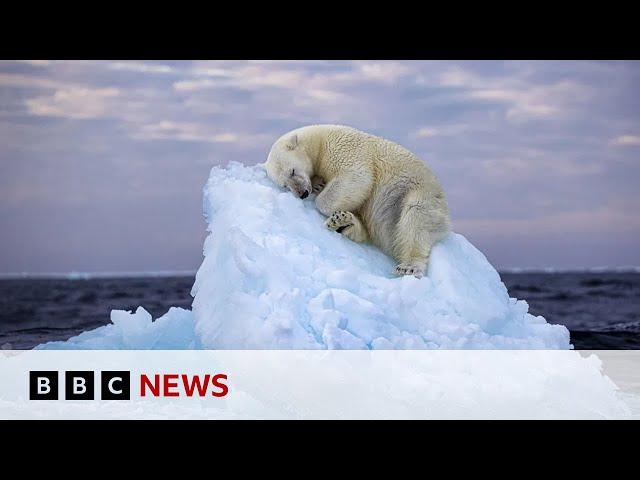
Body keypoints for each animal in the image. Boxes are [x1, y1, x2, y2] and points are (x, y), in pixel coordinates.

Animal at [264, 124, 450, 278]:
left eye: (292, 171)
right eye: (285, 185)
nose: (302, 193)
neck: (319, 141)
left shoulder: (343, 149)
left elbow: (357, 177)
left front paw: (321, 196)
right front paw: (319, 184)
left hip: (419, 193)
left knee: (416, 219)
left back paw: (409, 266)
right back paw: (343, 222)